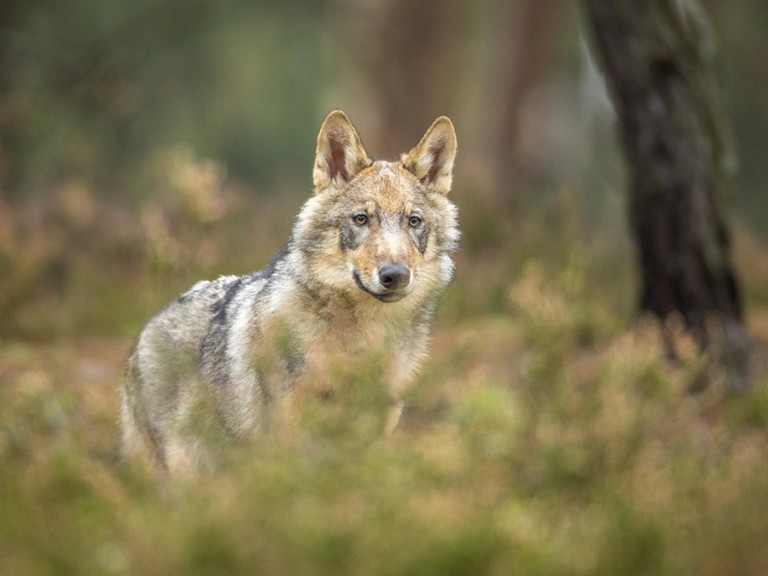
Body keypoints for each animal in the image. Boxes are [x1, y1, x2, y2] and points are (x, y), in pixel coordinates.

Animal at [120, 109, 456, 472]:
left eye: (414, 221)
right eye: (361, 219)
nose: (395, 275)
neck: (361, 345)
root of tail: (146, 330)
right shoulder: (290, 441)